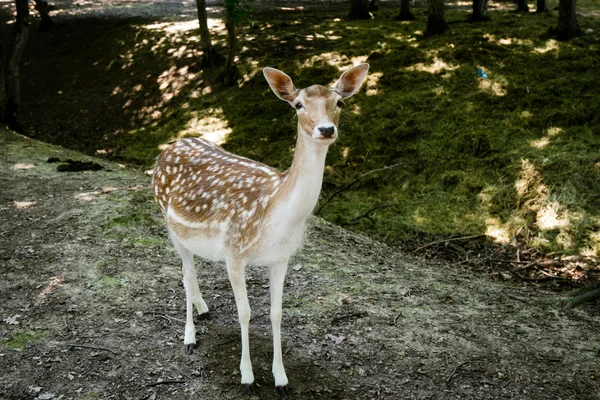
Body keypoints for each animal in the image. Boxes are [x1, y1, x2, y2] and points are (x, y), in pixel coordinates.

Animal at [152, 63, 368, 396]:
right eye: (298, 104)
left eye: (340, 102)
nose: (326, 129)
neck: (274, 217)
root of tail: (171, 145)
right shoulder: (234, 252)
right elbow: (245, 312)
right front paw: (247, 378)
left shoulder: (281, 258)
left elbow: (276, 313)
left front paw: (281, 379)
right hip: (168, 222)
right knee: (185, 273)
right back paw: (189, 337)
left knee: (191, 270)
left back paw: (203, 307)